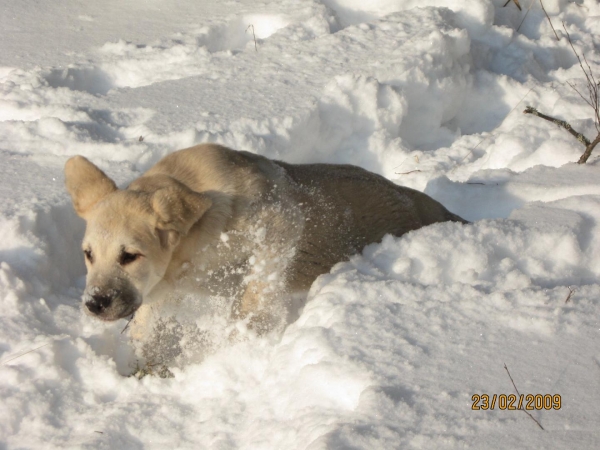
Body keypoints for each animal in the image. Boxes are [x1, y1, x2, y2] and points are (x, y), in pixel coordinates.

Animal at [64, 144, 464, 344]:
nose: (95, 304)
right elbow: (146, 320)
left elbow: (256, 289)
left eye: (130, 255)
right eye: (88, 255)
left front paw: (244, 334)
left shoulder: (280, 222)